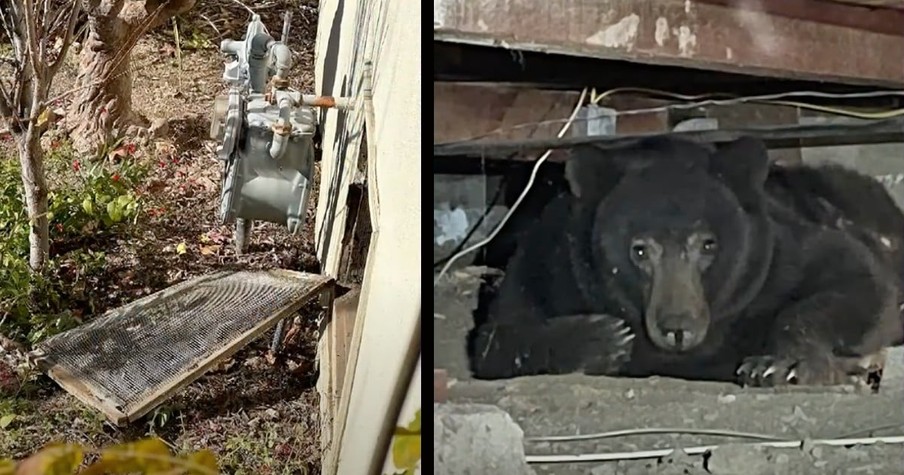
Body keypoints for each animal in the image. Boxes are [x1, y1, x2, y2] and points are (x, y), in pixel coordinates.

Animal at [470, 135, 904, 386]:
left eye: (708, 244)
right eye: (640, 249)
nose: (678, 328)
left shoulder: (775, 256)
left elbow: (853, 275)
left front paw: (781, 363)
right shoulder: (549, 263)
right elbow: (497, 335)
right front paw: (604, 337)